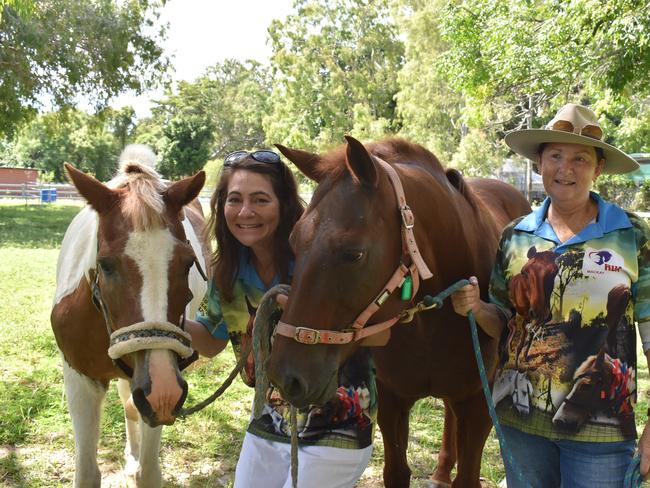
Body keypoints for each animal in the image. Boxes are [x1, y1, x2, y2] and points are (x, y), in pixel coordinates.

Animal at [51, 146, 208, 488]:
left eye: (188, 262)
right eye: (106, 264)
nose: (163, 392)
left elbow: (148, 472)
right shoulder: (80, 380)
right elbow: (87, 473)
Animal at [266, 135, 528, 486]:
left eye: (354, 253)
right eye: (294, 241)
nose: (285, 376)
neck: (433, 325)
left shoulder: (478, 406)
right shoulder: (393, 402)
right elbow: (396, 471)